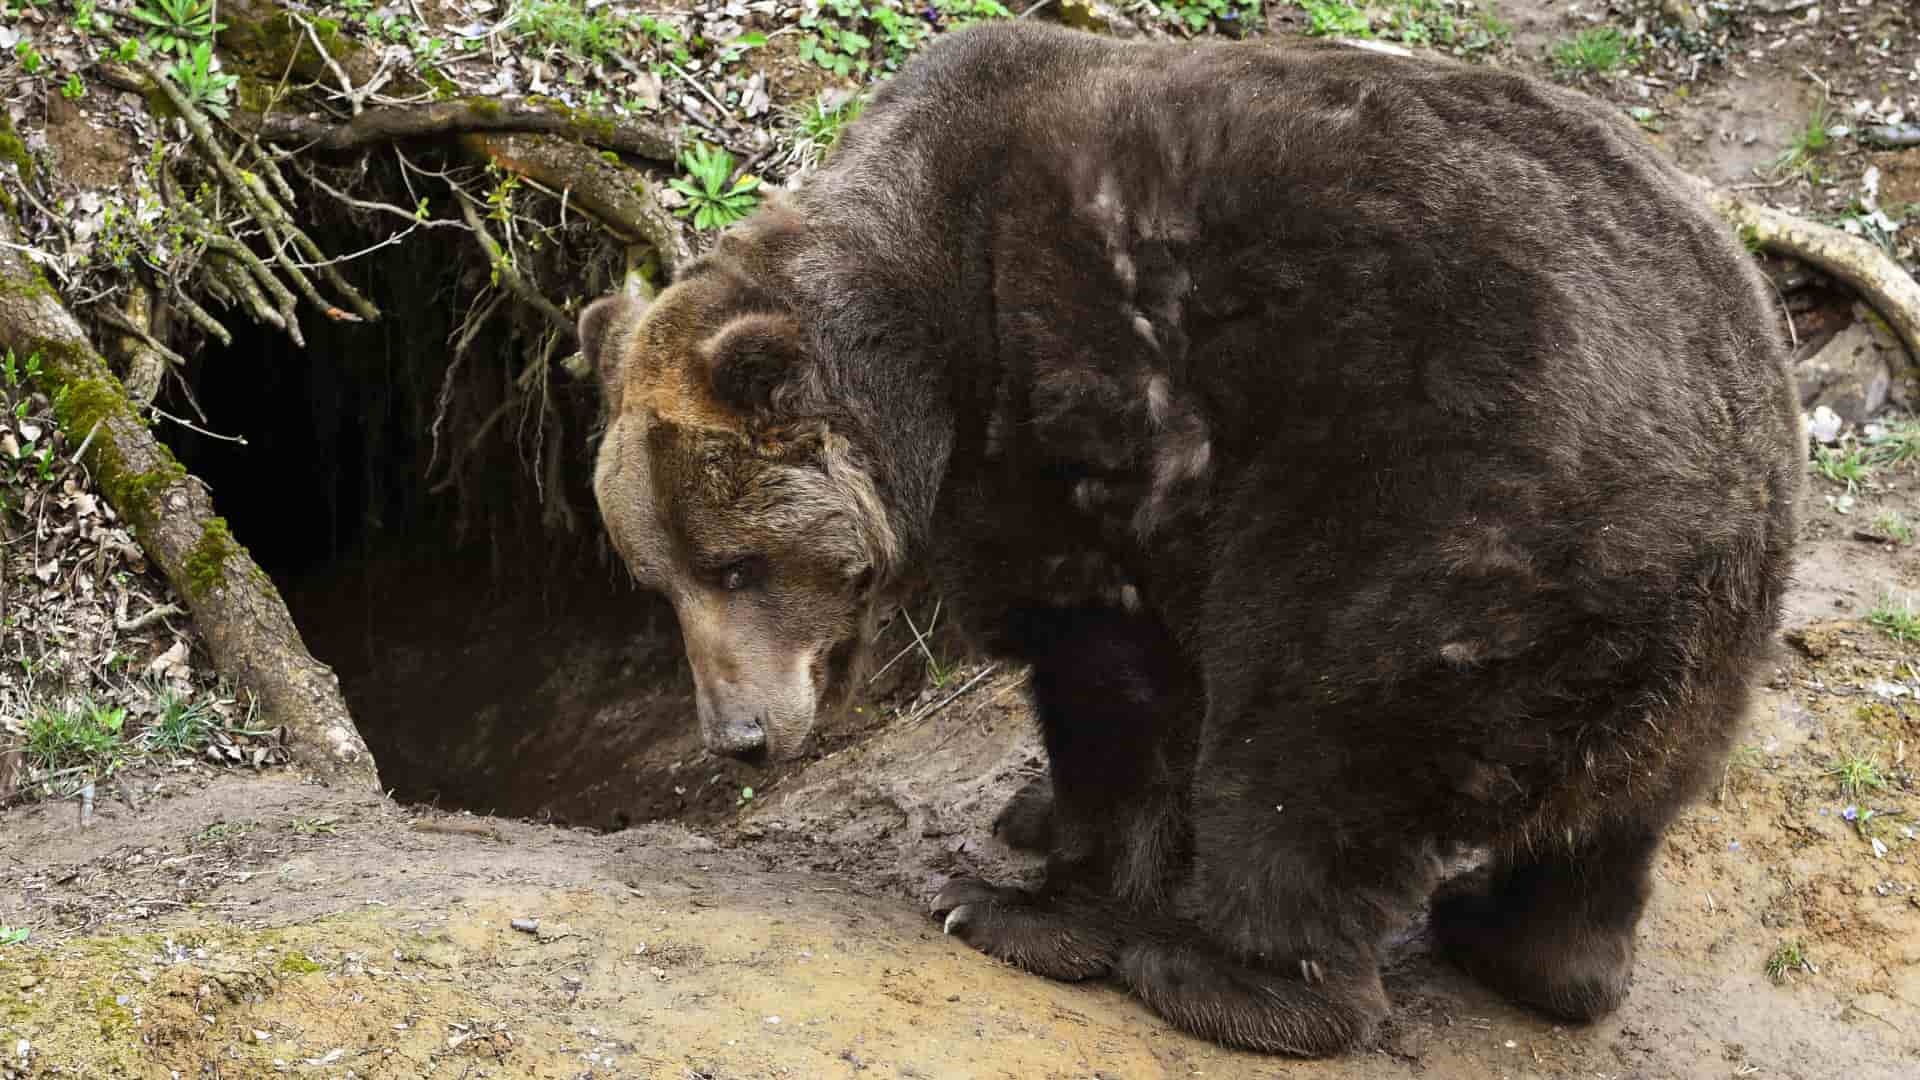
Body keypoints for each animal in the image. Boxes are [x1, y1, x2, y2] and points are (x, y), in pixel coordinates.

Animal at [576, 21, 1804, 1053]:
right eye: (656, 580)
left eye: (735, 565)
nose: (737, 737)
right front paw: (1031, 819)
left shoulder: (1076, 425)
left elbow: (1115, 678)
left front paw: (1018, 901)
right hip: (1700, 626)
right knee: (1623, 811)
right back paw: (1526, 947)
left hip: (1441, 526)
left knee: (1308, 742)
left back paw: (1223, 976)